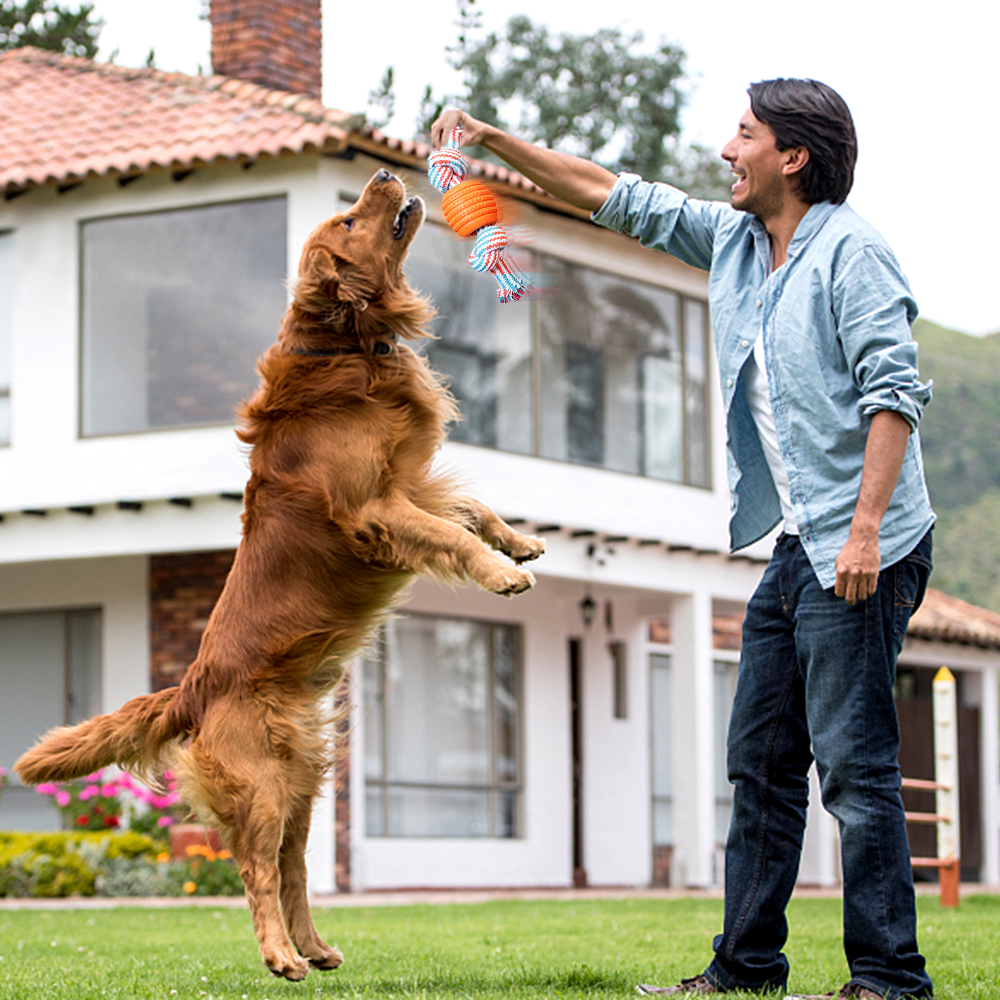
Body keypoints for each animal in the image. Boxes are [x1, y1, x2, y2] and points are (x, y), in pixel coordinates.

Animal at [13, 168, 548, 980]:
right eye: (350, 219)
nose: (384, 173)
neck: (344, 347)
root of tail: (193, 686)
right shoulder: (375, 509)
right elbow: (447, 533)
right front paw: (500, 573)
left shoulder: (410, 485)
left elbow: (469, 508)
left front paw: (517, 543)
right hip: (263, 788)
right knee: (255, 870)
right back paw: (280, 956)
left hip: (304, 783)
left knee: (293, 869)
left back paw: (316, 948)